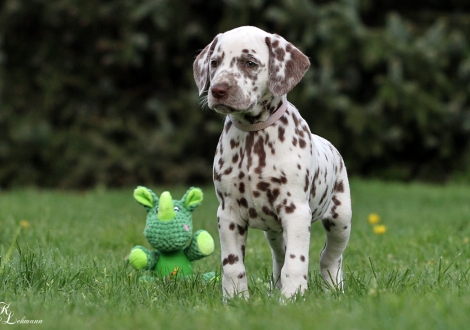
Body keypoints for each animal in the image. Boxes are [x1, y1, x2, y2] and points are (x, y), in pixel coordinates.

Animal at [193, 25, 350, 300]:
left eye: (250, 63)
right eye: (214, 63)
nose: (218, 90)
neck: (254, 137)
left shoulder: (296, 212)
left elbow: (296, 262)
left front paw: (292, 297)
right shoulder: (228, 213)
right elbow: (232, 264)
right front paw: (235, 299)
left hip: (341, 219)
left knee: (330, 256)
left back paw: (333, 287)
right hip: (274, 233)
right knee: (279, 257)